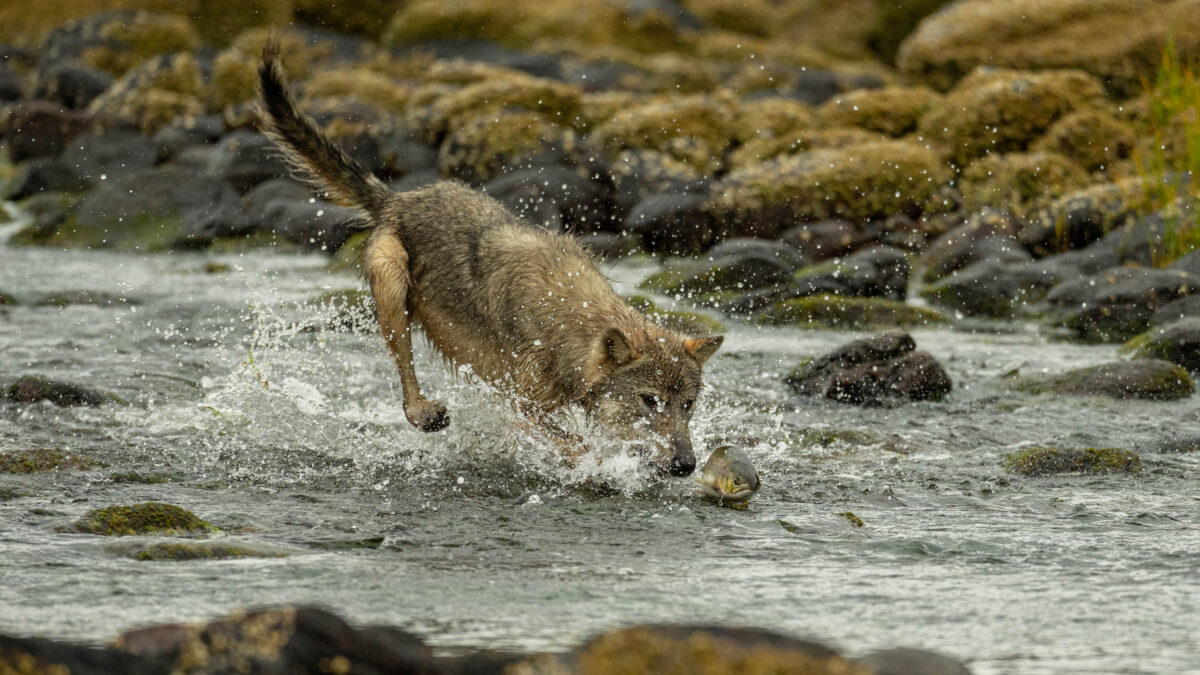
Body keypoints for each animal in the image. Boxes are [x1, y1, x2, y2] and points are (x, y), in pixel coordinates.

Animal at [256, 44, 723, 476]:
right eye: (650, 401)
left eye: (688, 404)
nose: (686, 465)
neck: (564, 318)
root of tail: (398, 198)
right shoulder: (525, 408)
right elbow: (578, 447)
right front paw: (602, 468)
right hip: (391, 284)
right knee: (405, 375)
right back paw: (424, 413)